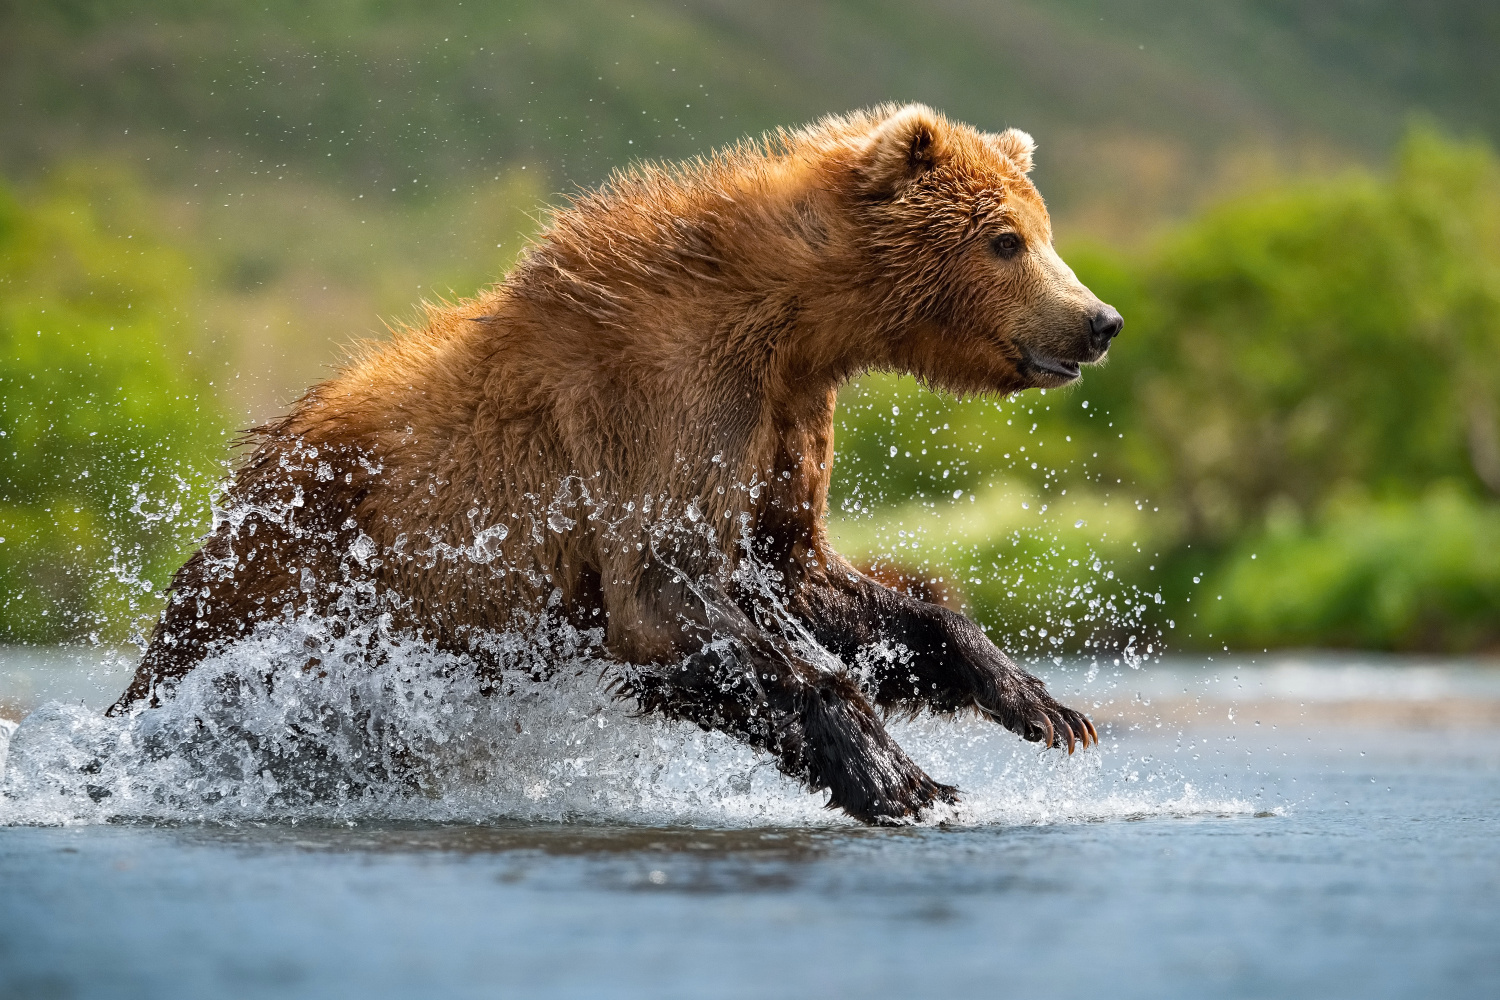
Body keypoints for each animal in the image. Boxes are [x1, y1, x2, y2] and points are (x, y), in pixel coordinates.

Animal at [108, 105, 1116, 827]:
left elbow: (813, 576)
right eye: (1006, 240)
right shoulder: (661, 398)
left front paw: (1041, 705)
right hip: (293, 579)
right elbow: (666, 596)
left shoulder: (782, 424)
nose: (1098, 320)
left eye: (1040, 227)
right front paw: (899, 775)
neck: (788, 322)